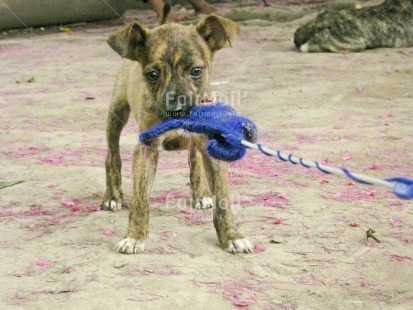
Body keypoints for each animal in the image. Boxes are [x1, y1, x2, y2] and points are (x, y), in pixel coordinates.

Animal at [101, 10, 253, 254]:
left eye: (196, 71)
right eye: (152, 75)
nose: (176, 109)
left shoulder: (211, 149)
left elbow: (222, 198)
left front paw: (232, 236)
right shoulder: (146, 149)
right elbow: (140, 198)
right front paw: (134, 236)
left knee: (194, 161)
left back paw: (200, 194)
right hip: (116, 113)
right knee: (112, 157)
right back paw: (112, 197)